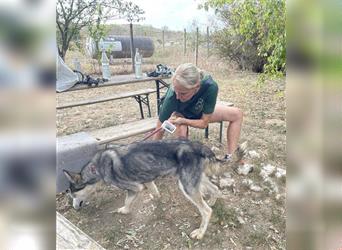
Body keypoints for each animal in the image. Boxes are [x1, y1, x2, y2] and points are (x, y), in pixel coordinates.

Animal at [64, 139, 246, 238]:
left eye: (73, 194)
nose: (74, 208)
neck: (97, 167)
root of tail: (200, 146)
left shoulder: (135, 187)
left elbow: (127, 201)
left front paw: (123, 210)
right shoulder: (148, 180)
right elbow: (154, 192)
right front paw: (156, 200)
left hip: (186, 186)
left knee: (206, 211)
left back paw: (200, 232)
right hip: (196, 180)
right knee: (215, 190)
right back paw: (213, 201)